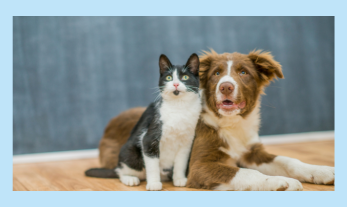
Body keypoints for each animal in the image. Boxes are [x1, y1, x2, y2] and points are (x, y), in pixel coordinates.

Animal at [85, 53, 203, 191]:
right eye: (169, 77)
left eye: (185, 77)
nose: (175, 84)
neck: (179, 107)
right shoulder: (149, 138)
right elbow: (152, 165)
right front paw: (154, 183)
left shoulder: (186, 142)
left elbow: (181, 162)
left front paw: (179, 179)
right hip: (131, 153)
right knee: (121, 171)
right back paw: (130, 178)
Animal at [97, 49, 334, 191]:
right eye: (216, 74)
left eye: (243, 72)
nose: (225, 86)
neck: (230, 125)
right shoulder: (200, 165)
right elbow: (245, 173)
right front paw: (278, 181)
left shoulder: (251, 151)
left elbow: (288, 160)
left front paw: (322, 171)